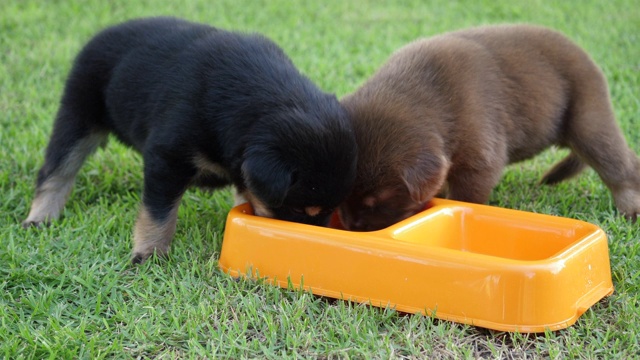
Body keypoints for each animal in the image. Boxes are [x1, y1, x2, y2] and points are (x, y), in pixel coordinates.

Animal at [22, 16, 358, 262]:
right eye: (300, 210)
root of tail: (102, 32)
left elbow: (246, 191)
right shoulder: (167, 158)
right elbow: (159, 212)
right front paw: (149, 253)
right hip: (78, 111)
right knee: (57, 168)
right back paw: (40, 217)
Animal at [338, 23, 640, 231]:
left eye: (376, 201)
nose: (352, 226)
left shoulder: (480, 159)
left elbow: (467, 195)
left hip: (588, 116)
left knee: (618, 164)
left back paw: (630, 208)